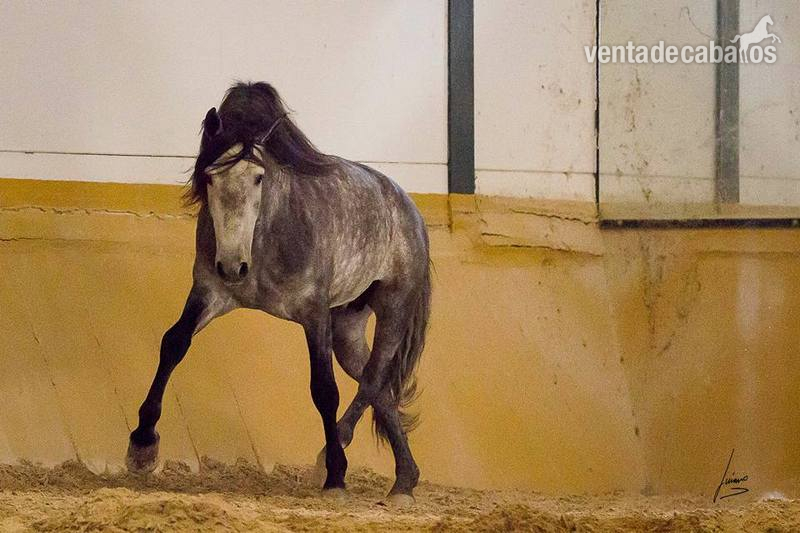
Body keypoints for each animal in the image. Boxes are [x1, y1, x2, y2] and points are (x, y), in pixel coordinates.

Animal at [126, 81, 431, 505]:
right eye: (210, 177)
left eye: (259, 177)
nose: (232, 266)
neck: (264, 238)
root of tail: (408, 208)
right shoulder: (209, 293)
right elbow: (174, 344)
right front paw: (141, 446)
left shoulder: (313, 312)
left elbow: (324, 390)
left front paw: (336, 477)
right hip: (347, 326)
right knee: (379, 385)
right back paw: (404, 481)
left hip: (393, 307)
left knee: (373, 377)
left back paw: (336, 460)